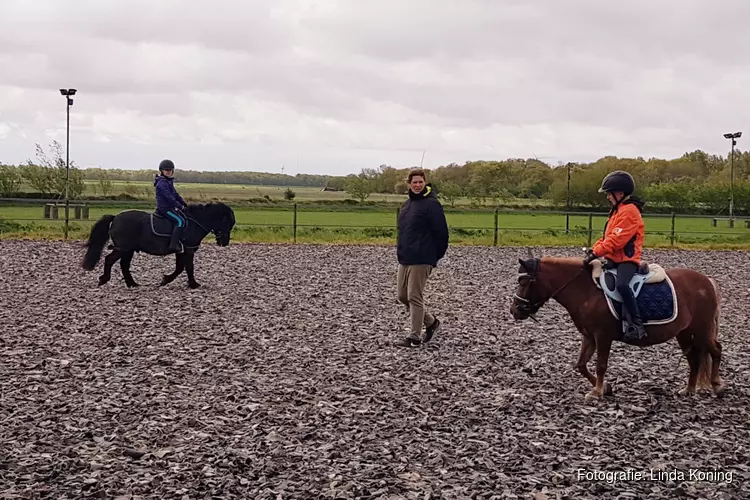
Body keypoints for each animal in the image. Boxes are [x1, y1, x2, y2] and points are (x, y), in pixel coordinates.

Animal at [82, 202, 235, 290]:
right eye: (225, 221)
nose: (224, 242)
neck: (194, 222)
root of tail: (115, 218)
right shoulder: (188, 251)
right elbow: (188, 267)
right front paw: (193, 284)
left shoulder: (181, 251)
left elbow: (180, 268)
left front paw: (165, 280)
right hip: (123, 249)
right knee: (110, 260)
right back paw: (104, 279)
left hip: (128, 250)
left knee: (123, 265)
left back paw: (132, 284)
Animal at [512, 250, 728, 402]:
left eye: (524, 282)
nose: (514, 310)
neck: (586, 291)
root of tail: (707, 281)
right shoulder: (589, 336)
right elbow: (581, 364)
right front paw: (606, 388)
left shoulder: (602, 336)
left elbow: (600, 365)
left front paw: (597, 392)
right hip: (684, 333)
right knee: (694, 358)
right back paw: (689, 389)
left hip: (702, 329)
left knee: (716, 350)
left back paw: (717, 386)